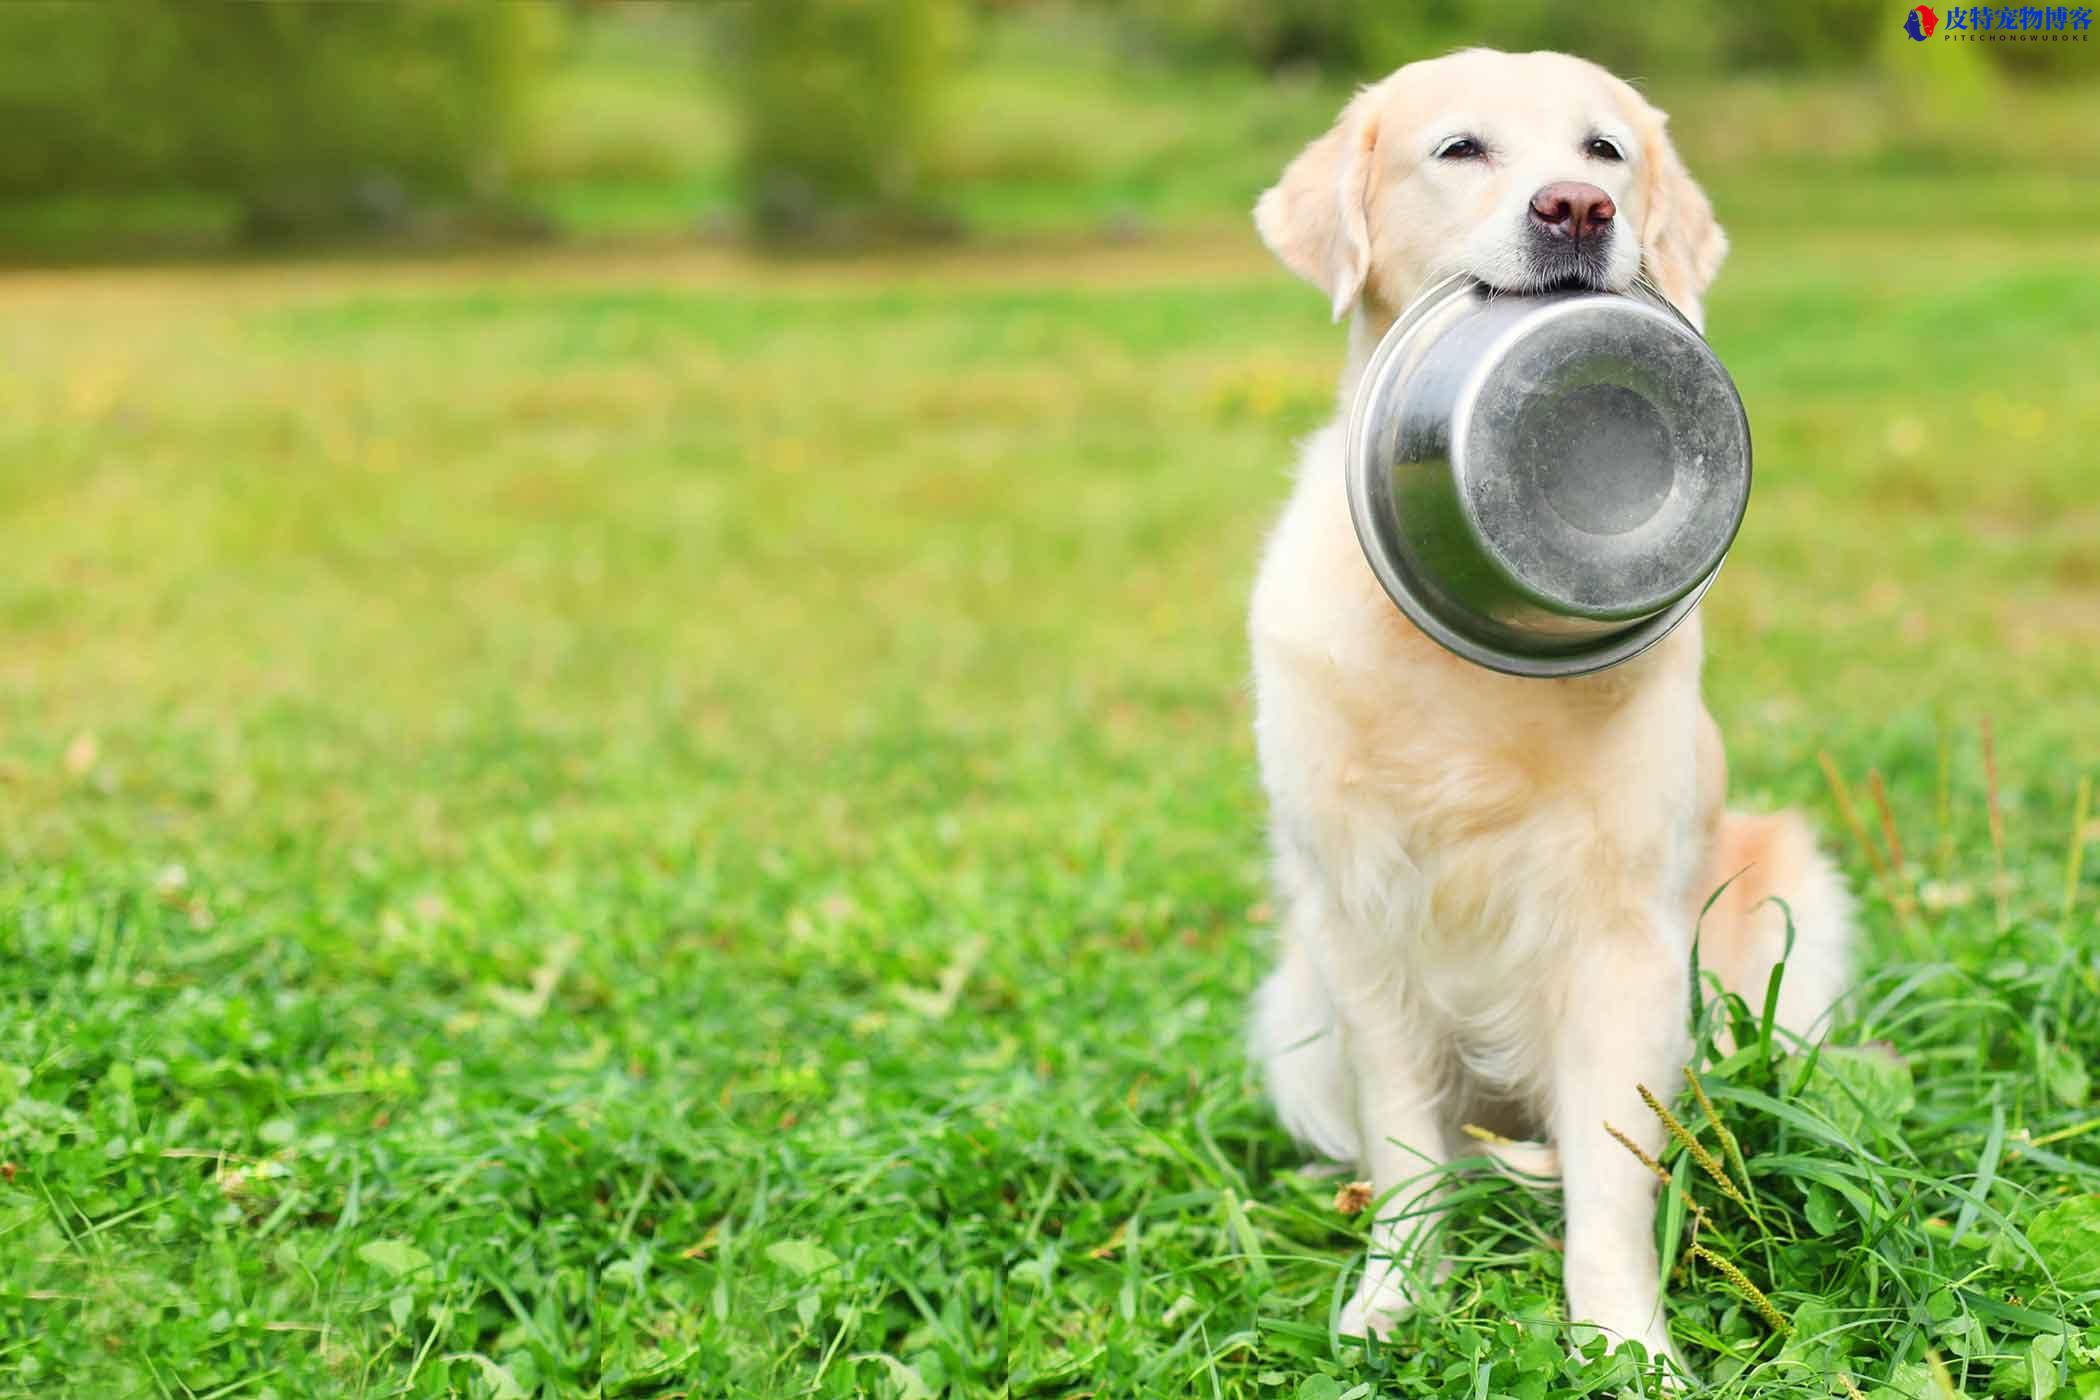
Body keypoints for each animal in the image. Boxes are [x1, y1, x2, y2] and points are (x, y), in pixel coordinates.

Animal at [1243, 49, 1856, 1360]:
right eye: (1461, 148)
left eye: (1605, 149)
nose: (1578, 208)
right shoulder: (1362, 918)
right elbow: (1409, 1147)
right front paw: (1394, 1294)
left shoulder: (1622, 938)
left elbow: (1613, 1179)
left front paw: (1626, 1342)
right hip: (1294, 1009)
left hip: (1792, 911)